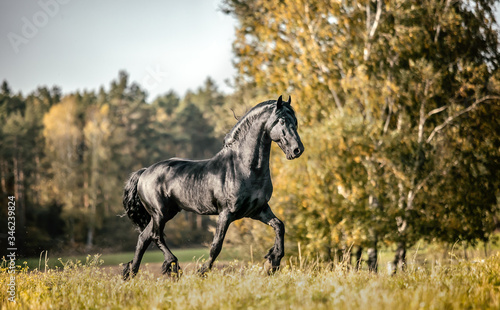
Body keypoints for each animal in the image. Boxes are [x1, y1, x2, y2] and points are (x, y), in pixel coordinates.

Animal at [122, 95, 302, 280]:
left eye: (295, 121)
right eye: (282, 120)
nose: (297, 150)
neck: (243, 167)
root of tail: (144, 172)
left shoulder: (258, 210)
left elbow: (279, 226)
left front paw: (273, 262)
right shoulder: (226, 213)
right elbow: (216, 245)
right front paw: (202, 272)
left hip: (165, 213)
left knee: (144, 237)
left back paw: (131, 273)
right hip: (161, 213)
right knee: (155, 236)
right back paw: (172, 266)